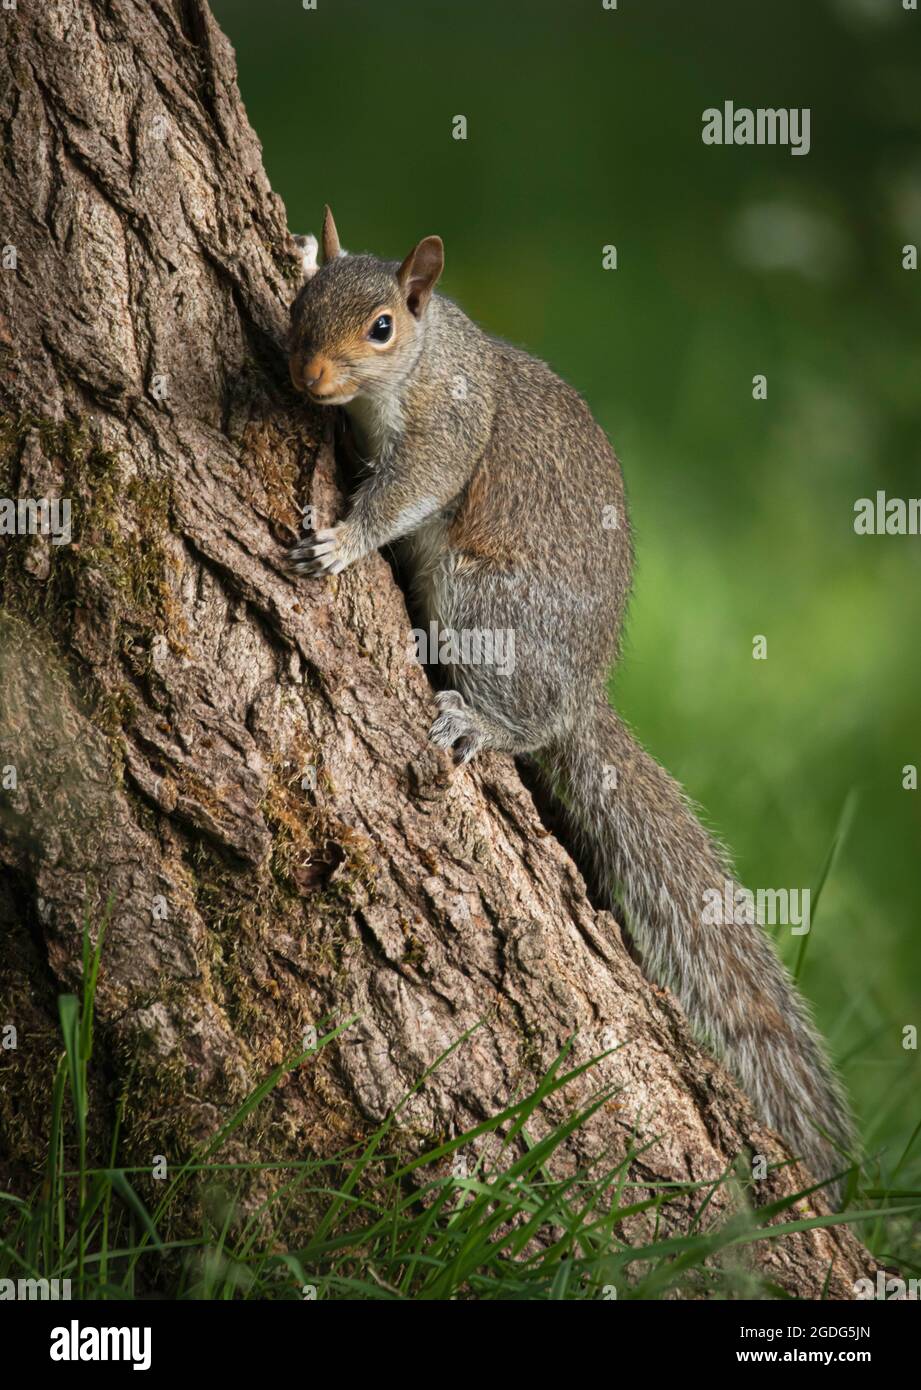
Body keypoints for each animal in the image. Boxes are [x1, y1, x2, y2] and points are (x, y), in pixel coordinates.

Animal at [286, 206, 855, 1203]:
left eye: (382, 327)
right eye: (299, 308)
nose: (307, 379)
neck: (425, 359)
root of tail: (583, 693)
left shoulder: (450, 427)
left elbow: (408, 491)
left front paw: (347, 539)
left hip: (489, 607)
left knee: (528, 720)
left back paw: (482, 720)